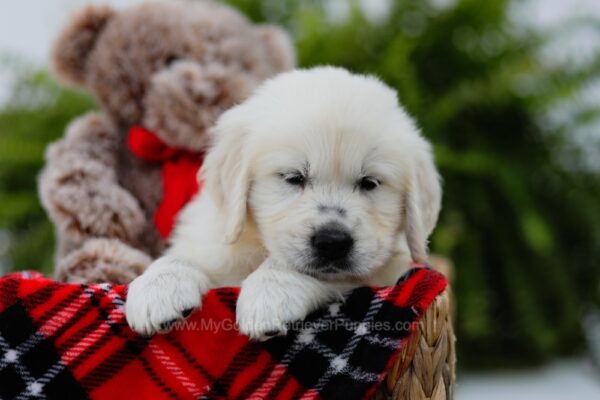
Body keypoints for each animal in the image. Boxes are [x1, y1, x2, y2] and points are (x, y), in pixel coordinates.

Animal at [125, 67, 440, 340]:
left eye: (370, 183)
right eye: (293, 178)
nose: (333, 242)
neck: (257, 247)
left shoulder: (388, 271)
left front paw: (269, 292)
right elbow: (183, 256)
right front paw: (158, 287)